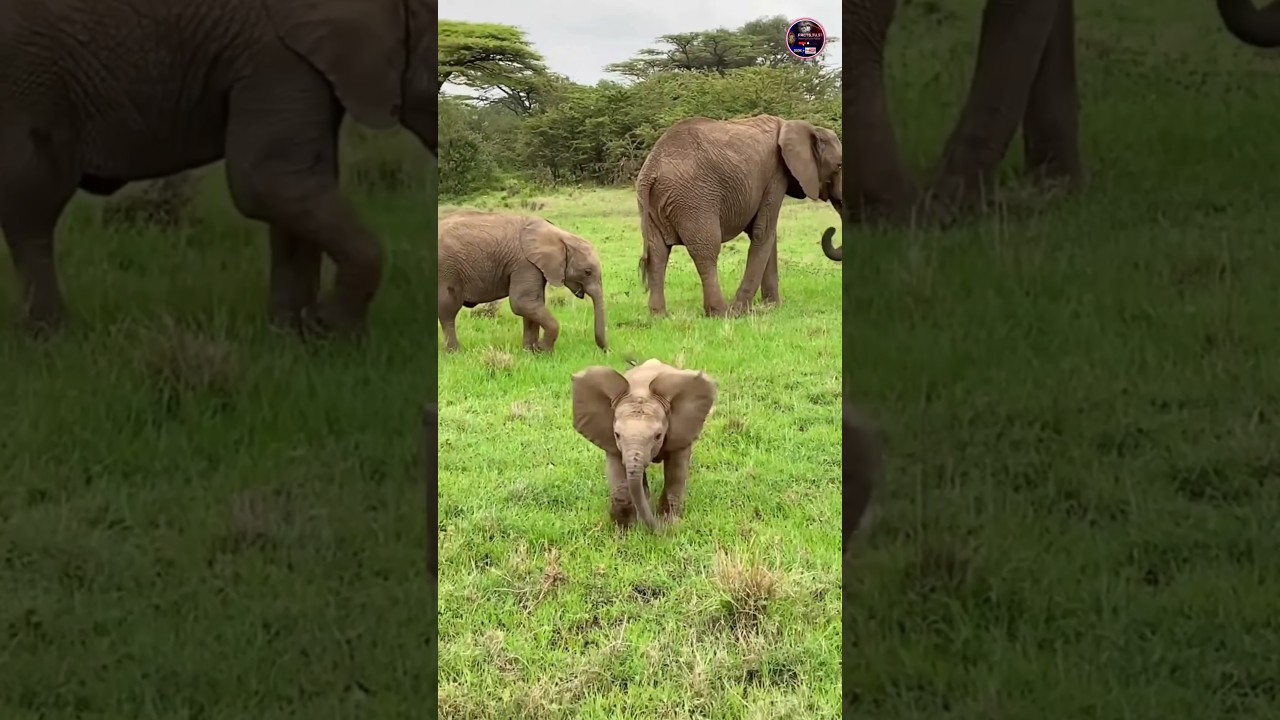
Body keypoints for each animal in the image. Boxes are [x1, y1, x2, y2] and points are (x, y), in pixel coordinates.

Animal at [0, 0, 436, 336]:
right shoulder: (273, 56)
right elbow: (263, 182)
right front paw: (331, 330)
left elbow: (299, 185)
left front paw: (292, 338)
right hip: (27, 78)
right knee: (33, 204)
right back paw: (52, 336)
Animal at [437, 212, 608, 354]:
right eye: (587, 272)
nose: (606, 351)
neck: (560, 236)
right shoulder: (525, 264)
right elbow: (522, 303)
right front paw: (543, 351)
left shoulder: (535, 267)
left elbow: (533, 304)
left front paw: (530, 353)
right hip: (447, 270)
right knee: (448, 310)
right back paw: (455, 353)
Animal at [571, 359, 717, 532]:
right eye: (617, 435)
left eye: (658, 436)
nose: (657, 530)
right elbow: (618, 472)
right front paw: (624, 530)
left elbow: (676, 471)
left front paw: (669, 524)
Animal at [635, 114, 842, 318]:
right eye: (840, 166)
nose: (831, 230)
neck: (796, 125)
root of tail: (651, 170)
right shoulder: (776, 174)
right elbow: (763, 231)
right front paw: (742, 311)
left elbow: (767, 233)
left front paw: (771, 307)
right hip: (693, 200)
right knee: (706, 251)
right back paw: (721, 313)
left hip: (653, 205)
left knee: (658, 253)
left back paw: (659, 316)